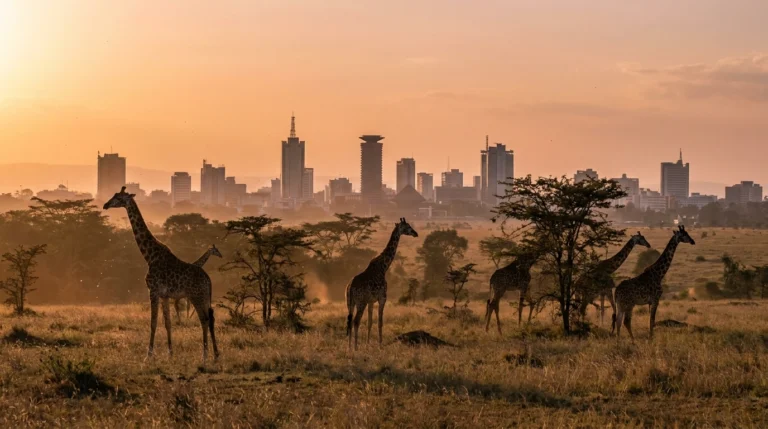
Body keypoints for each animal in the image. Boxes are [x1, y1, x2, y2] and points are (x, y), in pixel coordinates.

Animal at [103, 187, 219, 362]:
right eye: (114, 195)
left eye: (119, 198)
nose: (105, 205)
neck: (150, 256)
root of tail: (209, 280)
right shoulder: (165, 295)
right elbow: (167, 323)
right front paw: (170, 353)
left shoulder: (153, 290)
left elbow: (153, 322)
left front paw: (149, 354)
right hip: (205, 296)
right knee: (210, 318)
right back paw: (216, 354)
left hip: (196, 296)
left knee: (204, 319)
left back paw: (204, 356)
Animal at [346, 218, 418, 351]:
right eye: (408, 226)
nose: (416, 233)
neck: (384, 267)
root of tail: (350, 287)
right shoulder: (382, 298)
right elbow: (380, 322)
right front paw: (380, 345)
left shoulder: (371, 301)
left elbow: (370, 322)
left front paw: (367, 344)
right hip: (361, 303)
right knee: (356, 321)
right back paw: (355, 347)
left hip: (350, 303)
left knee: (349, 321)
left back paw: (349, 347)